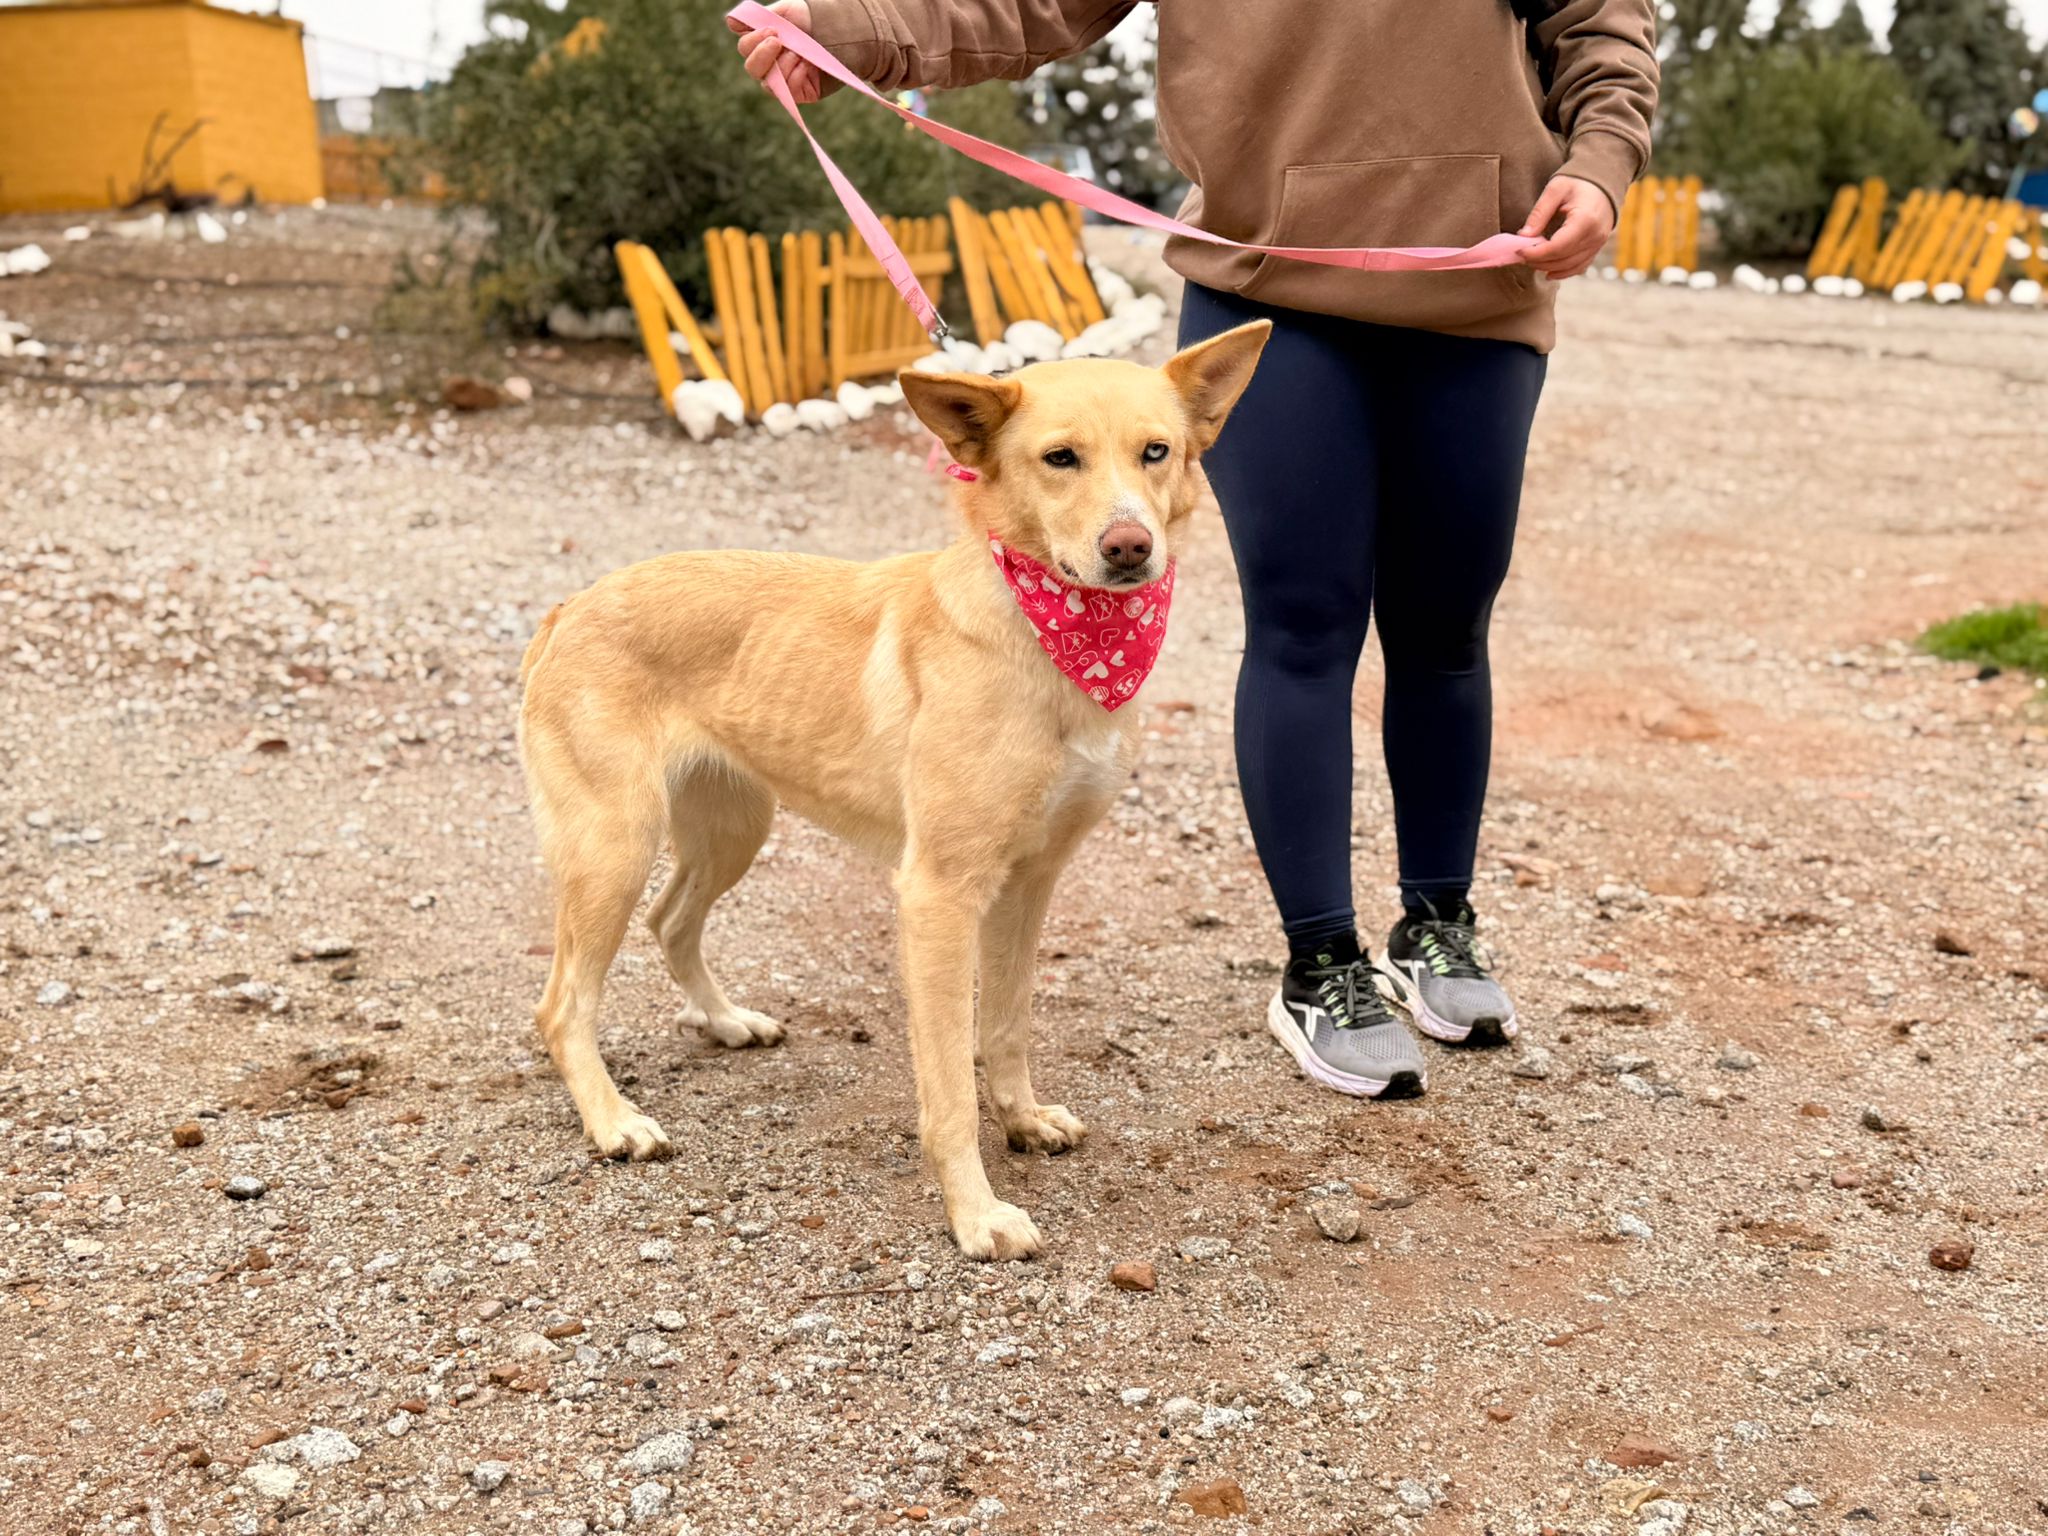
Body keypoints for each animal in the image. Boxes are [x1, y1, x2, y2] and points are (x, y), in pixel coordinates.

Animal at [517, 320, 1269, 1259]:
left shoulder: (1030, 883)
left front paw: (1022, 1120)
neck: (1047, 637)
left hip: (732, 828)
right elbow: (948, 1082)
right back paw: (613, 1120)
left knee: (671, 920)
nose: (1129, 546)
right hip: (613, 846)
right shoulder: (939, 895)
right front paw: (976, 1215)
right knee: (562, 1004)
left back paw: (725, 1021)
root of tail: (571, 605)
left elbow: (1007, 1026)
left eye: (1156, 451)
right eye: (1060, 458)